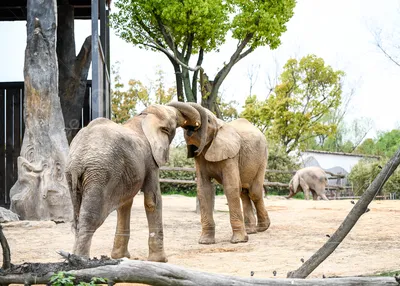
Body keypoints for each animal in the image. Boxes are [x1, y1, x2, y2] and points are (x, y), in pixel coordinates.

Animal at [65, 103, 205, 262]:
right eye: (175, 119)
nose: (193, 128)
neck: (144, 118)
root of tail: (78, 161)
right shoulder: (150, 161)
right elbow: (153, 200)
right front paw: (160, 260)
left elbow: (125, 204)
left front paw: (121, 257)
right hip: (99, 174)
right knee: (90, 218)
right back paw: (81, 261)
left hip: (73, 175)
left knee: (76, 219)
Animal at [164, 101, 270, 245]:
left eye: (208, 121)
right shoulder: (200, 159)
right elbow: (204, 189)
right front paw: (205, 242)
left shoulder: (231, 155)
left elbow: (231, 187)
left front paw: (238, 241)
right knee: (243, 192)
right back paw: (250, 231)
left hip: (262, 157)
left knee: (254, 192)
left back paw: (262, 228)